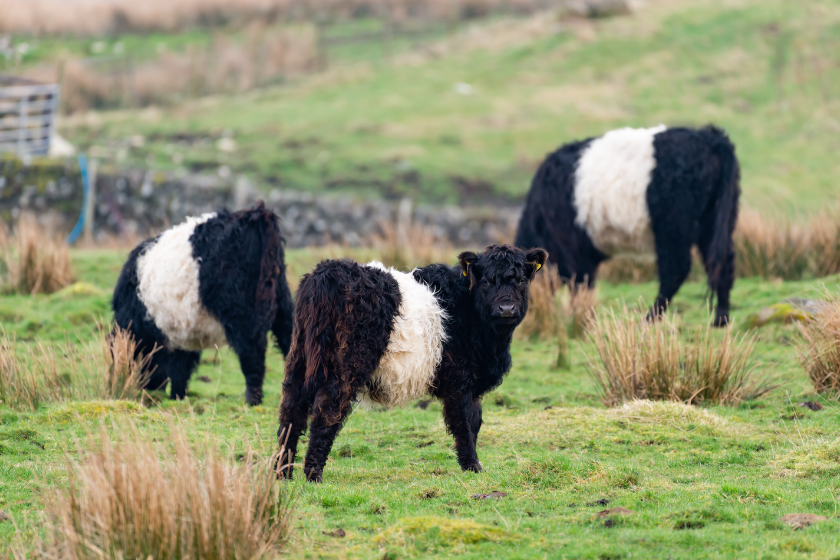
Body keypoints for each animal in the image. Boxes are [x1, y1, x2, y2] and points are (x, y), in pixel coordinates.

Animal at [111, 203, 296, 404]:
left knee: (252, 356)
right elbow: (181, 367)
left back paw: (252, 400)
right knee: (288, 339)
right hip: (282, 302)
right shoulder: (183, 334)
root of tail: (256, 214)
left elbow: (178, 368)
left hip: (242, 316)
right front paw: (178, 396)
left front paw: (176, 396)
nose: (147, 388)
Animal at [278, 244, 548, 482]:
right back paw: (313, 474)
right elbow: (464, 423)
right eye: (486, 281)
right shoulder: (459, 381)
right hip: (345, 366)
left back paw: (282, 473)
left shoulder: (472, 387)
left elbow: (475, 421)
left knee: (291, 410)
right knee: (327, 411)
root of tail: (328, 272)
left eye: (521, 281)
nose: (506, 308)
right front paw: (472, 466)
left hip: (299, 360)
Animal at [516, 122, 740, 324]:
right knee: (722, 263)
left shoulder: (573, 250)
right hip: (716, 224)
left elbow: (580, 285)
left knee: (676, 270)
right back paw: (721, 319)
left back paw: (649, 319)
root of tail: (711, 137)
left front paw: (579, 319)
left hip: (673, 228)